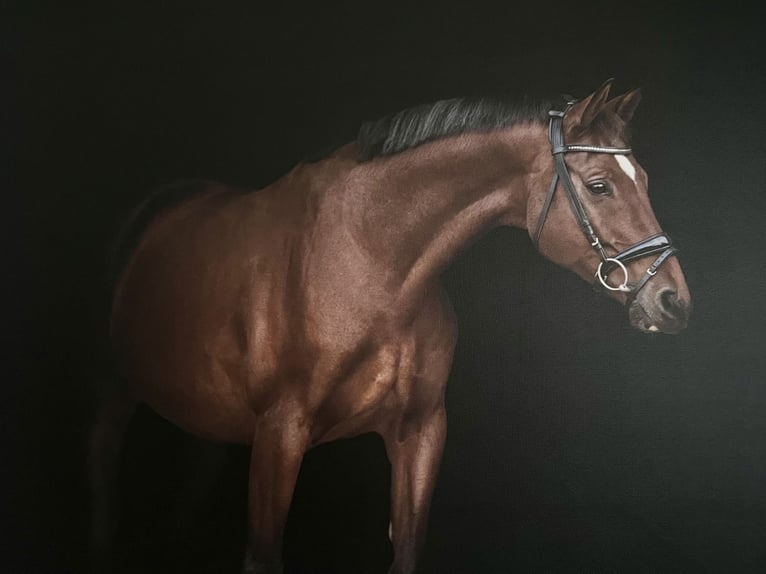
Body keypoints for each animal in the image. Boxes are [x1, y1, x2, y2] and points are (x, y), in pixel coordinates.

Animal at [90, 80, 692, 574]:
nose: (674, 301)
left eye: (644, 179)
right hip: (115, 401)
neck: (370, 262)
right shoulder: (279, 434)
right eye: (599, 186)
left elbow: (406, 548)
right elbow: (263, 556)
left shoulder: (421, 430)